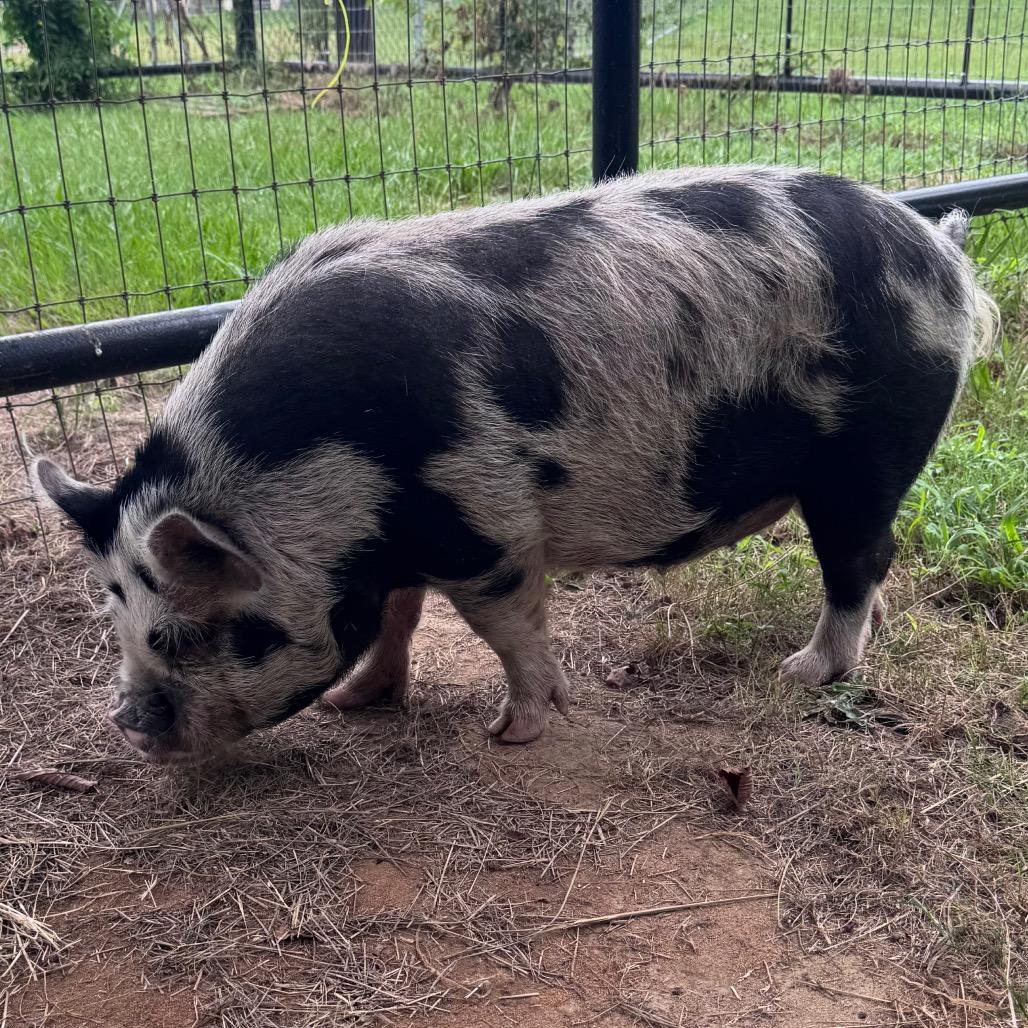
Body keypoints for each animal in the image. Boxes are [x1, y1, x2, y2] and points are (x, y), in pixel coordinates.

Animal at [33, 165, 997, 763]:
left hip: (867, 452)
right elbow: (398, 615)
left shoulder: (486, 524)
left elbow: (504, 626)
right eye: (115, 615)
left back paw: (801, 672)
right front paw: (358, 703)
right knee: (871, 562)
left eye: (185, 633)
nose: (128, 720)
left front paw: (513, 734)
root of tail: (941, 252)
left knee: (861, 556)